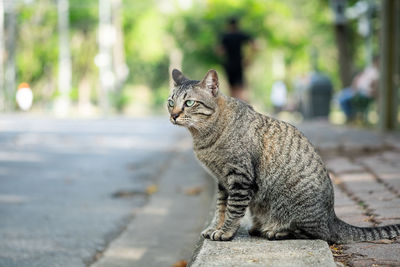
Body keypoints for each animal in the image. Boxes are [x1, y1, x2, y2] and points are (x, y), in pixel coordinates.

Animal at [167, 69, 400, 245]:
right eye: (170, 102)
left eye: (189, 103)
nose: (174, 115)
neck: (203, 137)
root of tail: (332, 217)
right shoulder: (222, 181)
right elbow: (221, 208)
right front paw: (215, 227)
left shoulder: (239, 178)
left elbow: (233, 209)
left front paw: (225, 232)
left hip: (300, 211)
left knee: (318, 234)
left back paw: (275, 231)